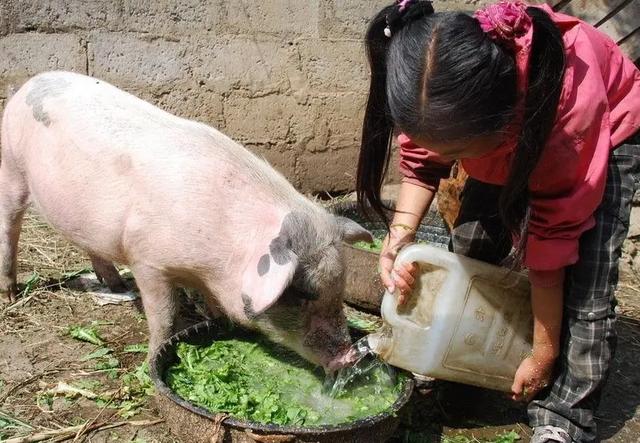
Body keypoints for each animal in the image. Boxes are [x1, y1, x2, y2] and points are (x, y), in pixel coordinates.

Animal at [0, 72, 372, 372]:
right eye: (303, 293)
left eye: (340, 287)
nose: (349, 357)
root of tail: (28, 83)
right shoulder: (146, 259)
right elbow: (164, 318)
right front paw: (152, 362)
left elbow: (214, 306)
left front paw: (218, 322)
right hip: (12, 168)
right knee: (10, 226)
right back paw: (10, 294)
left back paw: (116, 286)